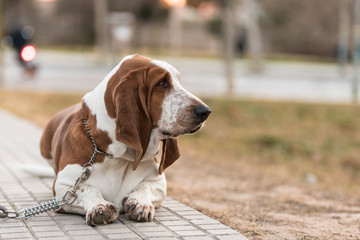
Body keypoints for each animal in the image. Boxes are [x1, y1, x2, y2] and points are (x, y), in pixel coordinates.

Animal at [40, 54, 211, 225]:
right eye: (162, 83)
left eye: (179, 81)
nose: (205, 111)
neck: (118, 156)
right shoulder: (63, 187)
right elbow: (87, 189)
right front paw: (99, 206)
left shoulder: (159, 182)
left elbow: (144, 187)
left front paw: (140, 203)